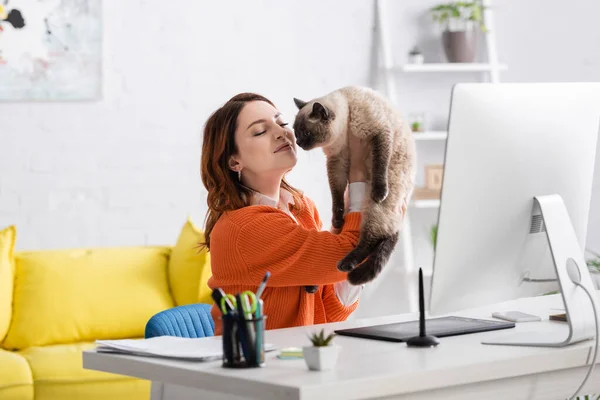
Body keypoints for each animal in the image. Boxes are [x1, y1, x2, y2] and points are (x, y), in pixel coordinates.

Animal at [292, 86, 414, 286]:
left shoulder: (379, 133)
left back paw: (346, 264)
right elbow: (336, 195)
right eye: (295, 132)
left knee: (372, 241)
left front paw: (380, 191)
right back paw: (313, 284)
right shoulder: (338, 161)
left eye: (306, 134)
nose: (299, 143)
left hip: (377, 208)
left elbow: (380, 164)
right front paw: (337, 216)